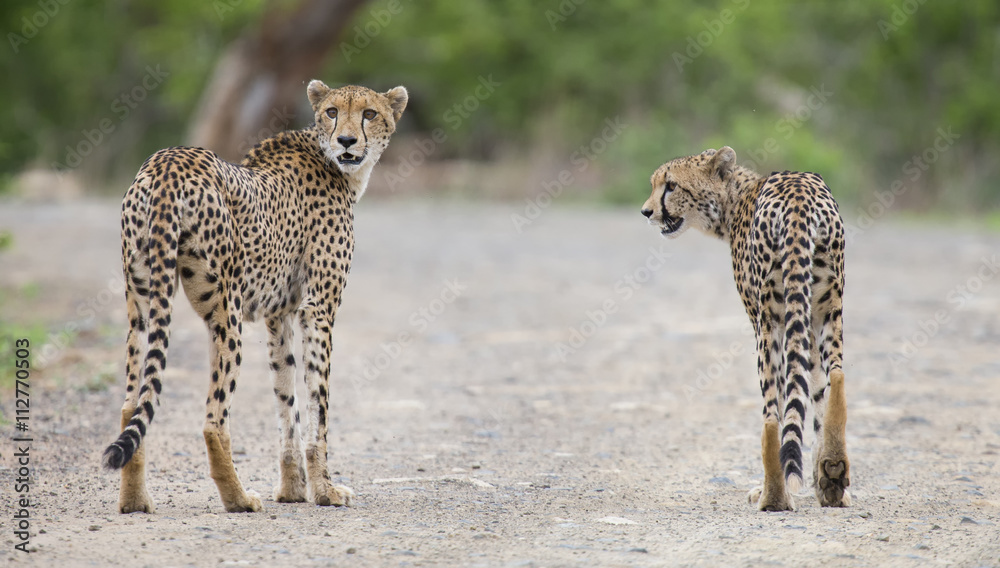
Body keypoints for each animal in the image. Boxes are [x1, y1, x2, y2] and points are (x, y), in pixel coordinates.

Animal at [102, 80, 408, 514]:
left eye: (369, 113)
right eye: (332, 112)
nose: (347, 141)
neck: (335, 165)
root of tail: (167, 160)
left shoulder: (280, 314)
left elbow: (287, 398)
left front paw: (294, 489)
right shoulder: (319, 309)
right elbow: (318, 406)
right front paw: (326, 491)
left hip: (141, 297)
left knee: (132, 402)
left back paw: (133, 499)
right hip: (225, 310)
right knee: (214, 418)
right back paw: (239, 499)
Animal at [641, 146, 850, 511]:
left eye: (670, 185)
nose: (646, 211)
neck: (734, 199)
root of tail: (799, 196)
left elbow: (786, 404)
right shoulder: (808, 322)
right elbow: (814, 396)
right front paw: (824, 480)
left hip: (769, 324)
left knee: (771, 415)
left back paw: (772, 496)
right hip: (828, 307)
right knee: (836, 377)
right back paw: (835, 468)